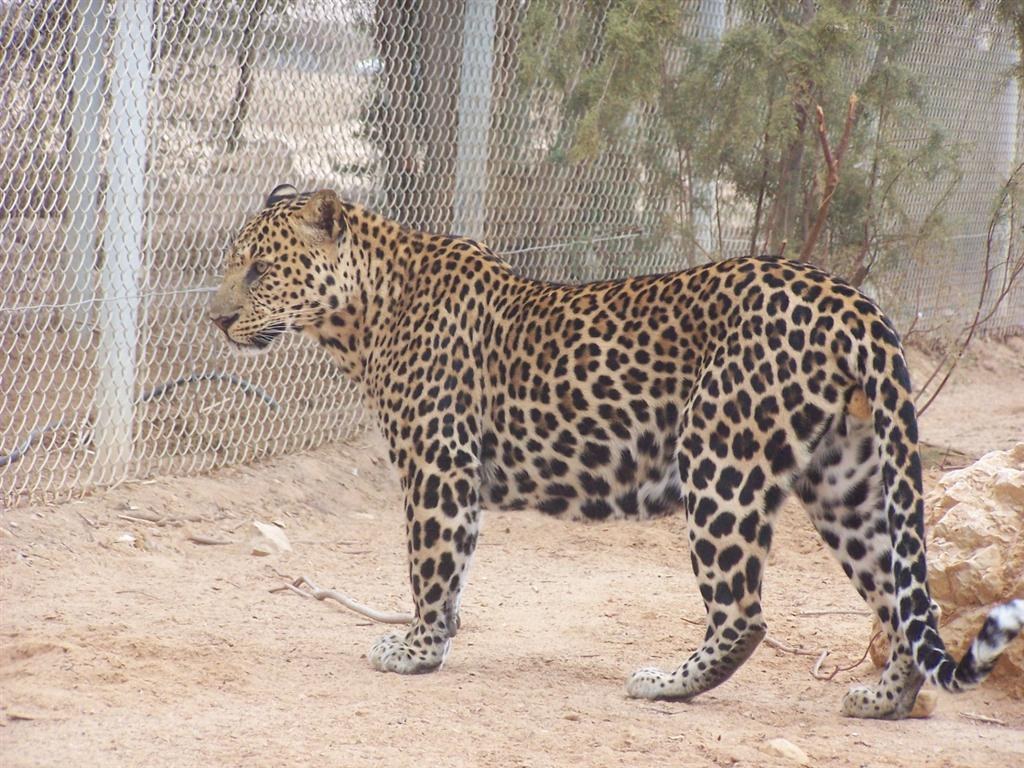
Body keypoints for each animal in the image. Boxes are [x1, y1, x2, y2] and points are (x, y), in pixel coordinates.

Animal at [209, 184, 1023, 719]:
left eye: (258, 269)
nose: (214, 319)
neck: (363, 317)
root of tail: (851, 300)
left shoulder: (437, 465)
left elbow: (430, 566)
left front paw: (415, 652)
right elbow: (451, 568)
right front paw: (434, 644)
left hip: (720, 456)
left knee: (745, 611)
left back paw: (666, 683)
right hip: (844, 481)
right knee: (901, 596)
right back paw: (884, 699)